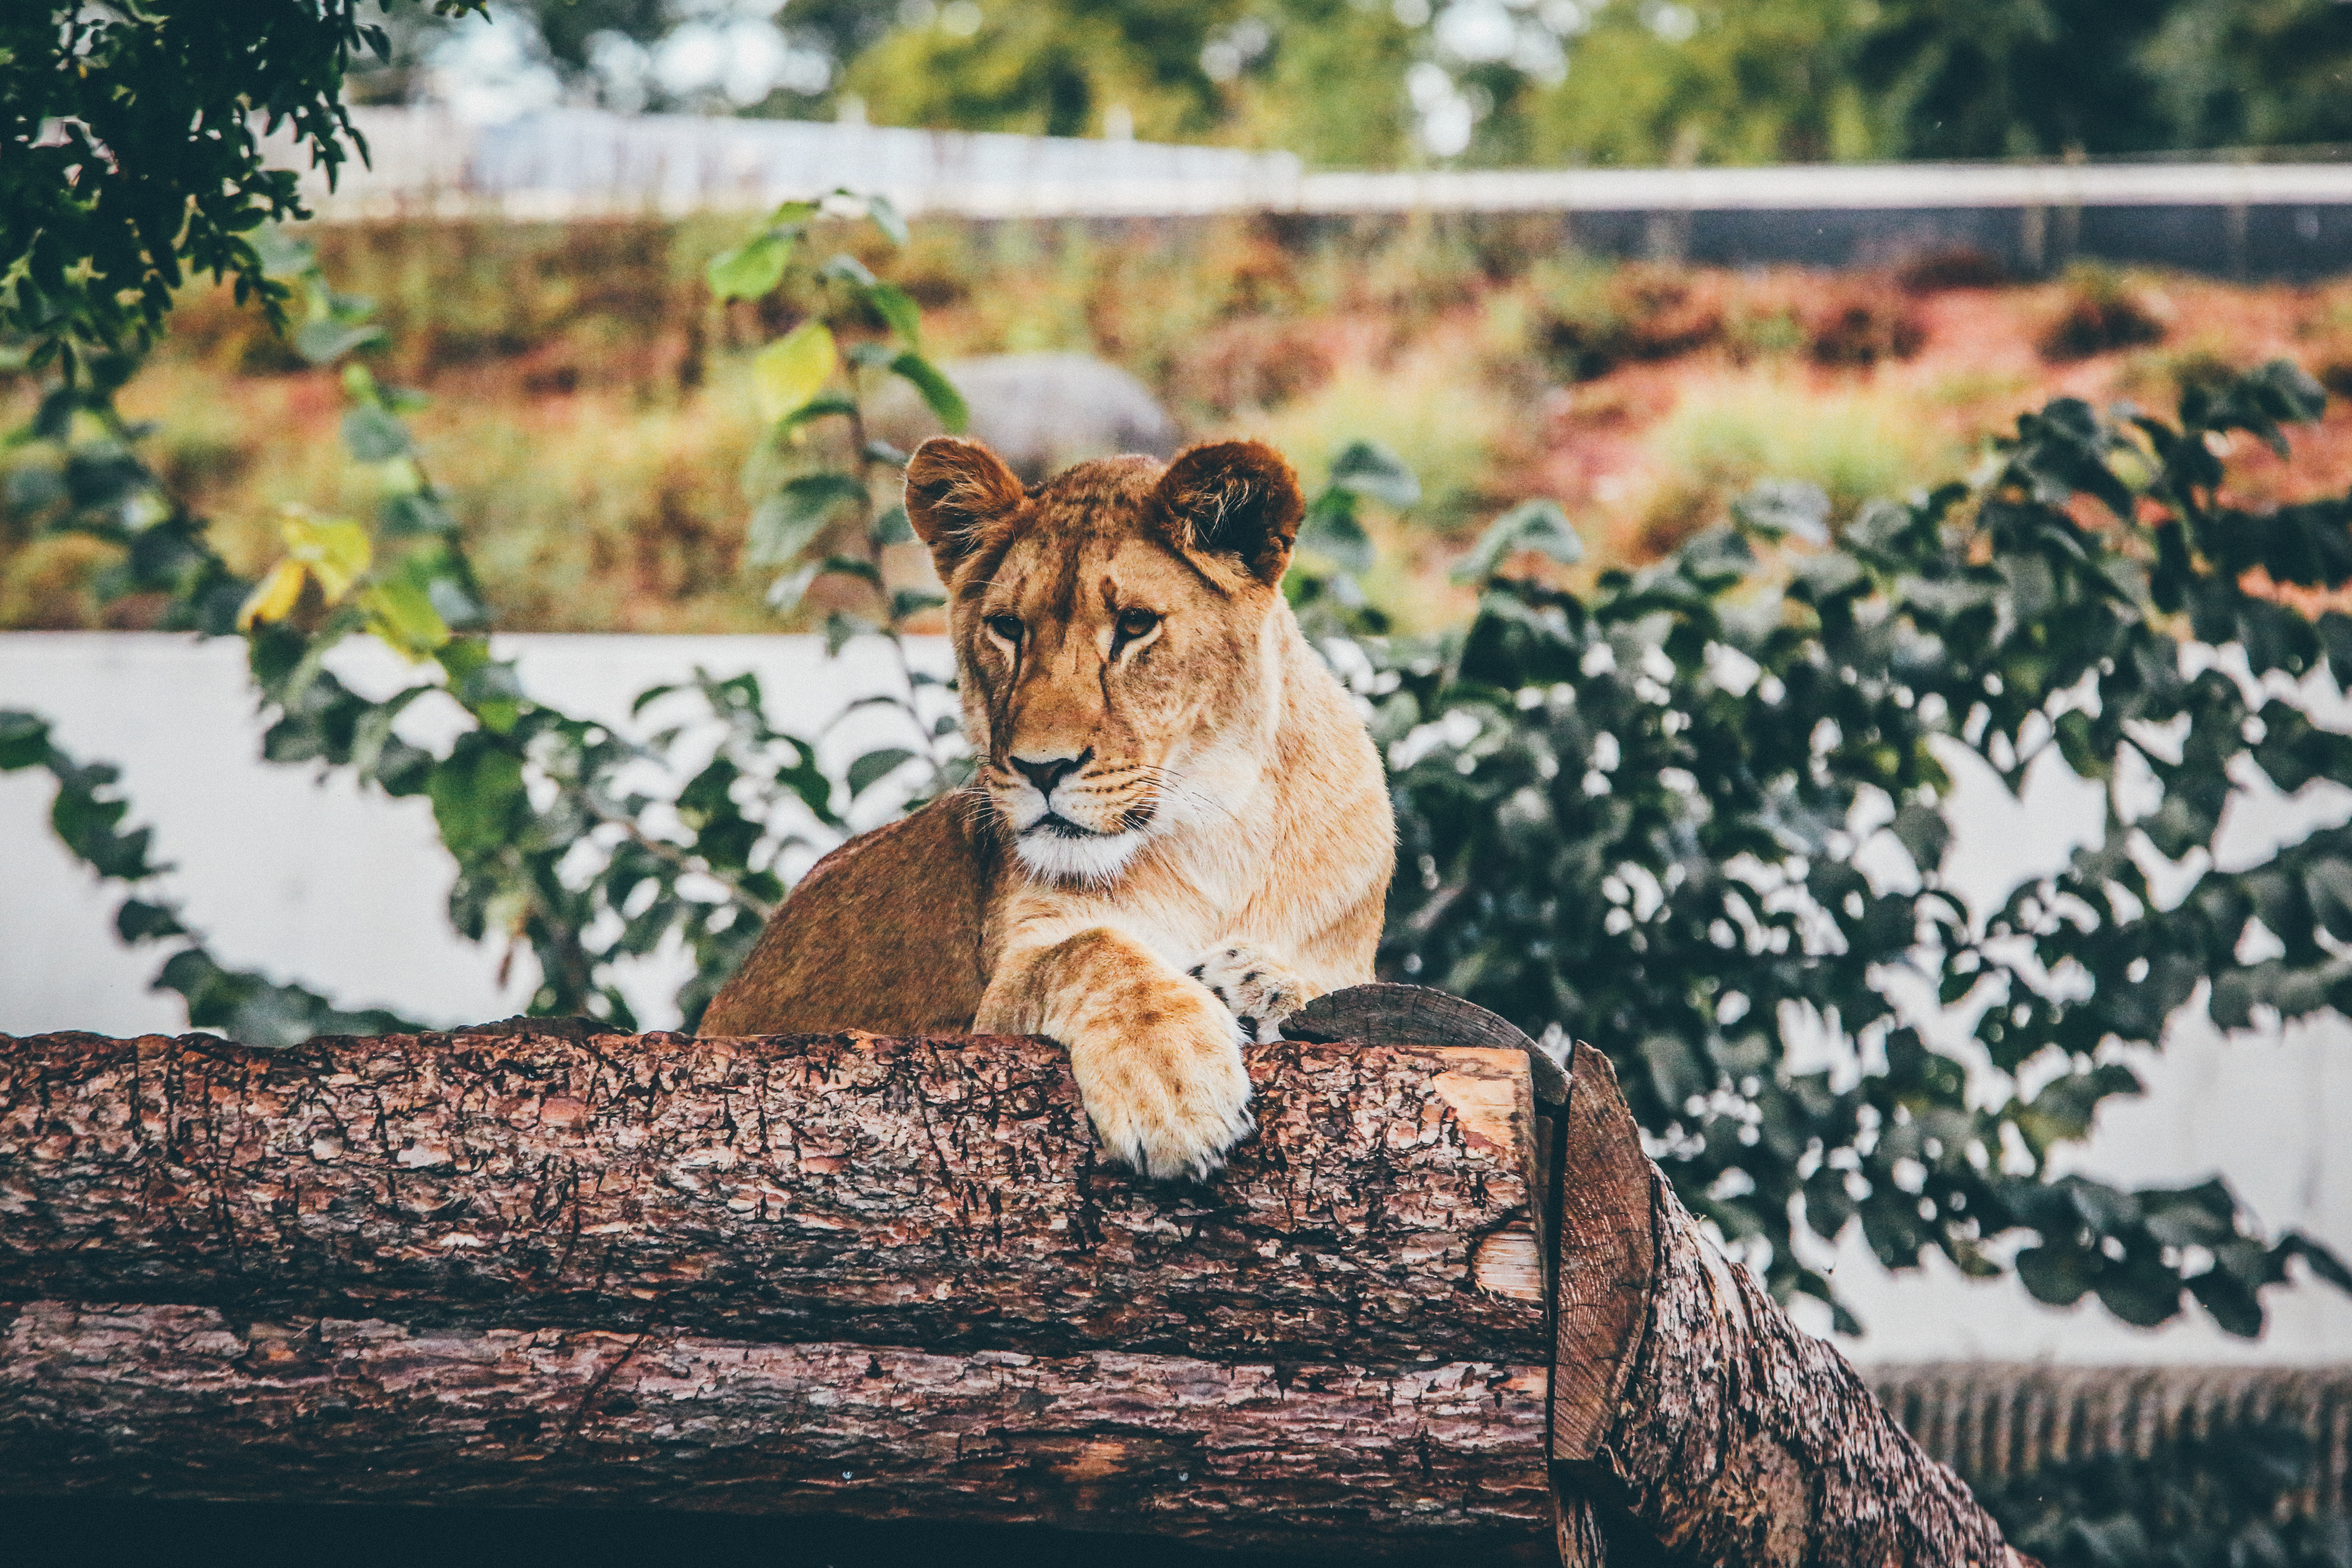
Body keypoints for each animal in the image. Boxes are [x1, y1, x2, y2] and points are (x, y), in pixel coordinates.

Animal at [699, 435, 1396, 1179]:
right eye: (1007, 628)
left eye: (1134, 625)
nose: (1041, 767)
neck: (1214, 826)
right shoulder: (996, 996)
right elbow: (1092, 950)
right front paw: (1175, 1086)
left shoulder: (1347, 963)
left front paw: (1262, 982)